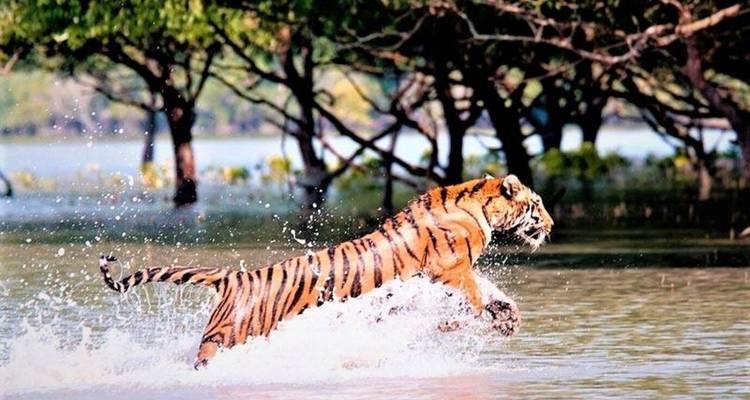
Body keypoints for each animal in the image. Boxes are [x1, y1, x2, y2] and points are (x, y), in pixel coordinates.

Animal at [98, 174, 553, 369]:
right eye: (537, 204)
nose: (549, 225)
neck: (480, 203)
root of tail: (234, 278)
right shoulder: (449, 269)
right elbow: (472, 299)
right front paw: (474, 321)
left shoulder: (452, 273)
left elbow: (489, 292)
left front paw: (507, 317)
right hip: (226, 338)